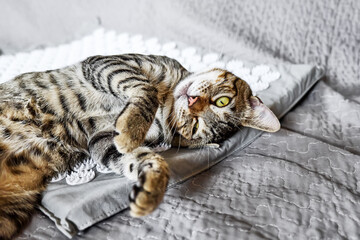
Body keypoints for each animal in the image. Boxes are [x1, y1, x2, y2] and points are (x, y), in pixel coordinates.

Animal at [0, 53, 280, 238]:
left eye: (194, 127)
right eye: (222, 101)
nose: (191, 101)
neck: (167, 100)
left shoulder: (101, 139)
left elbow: (140, 158)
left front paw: (151, 187)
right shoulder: (109, 63)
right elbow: (146, 89)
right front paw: (132, 128)